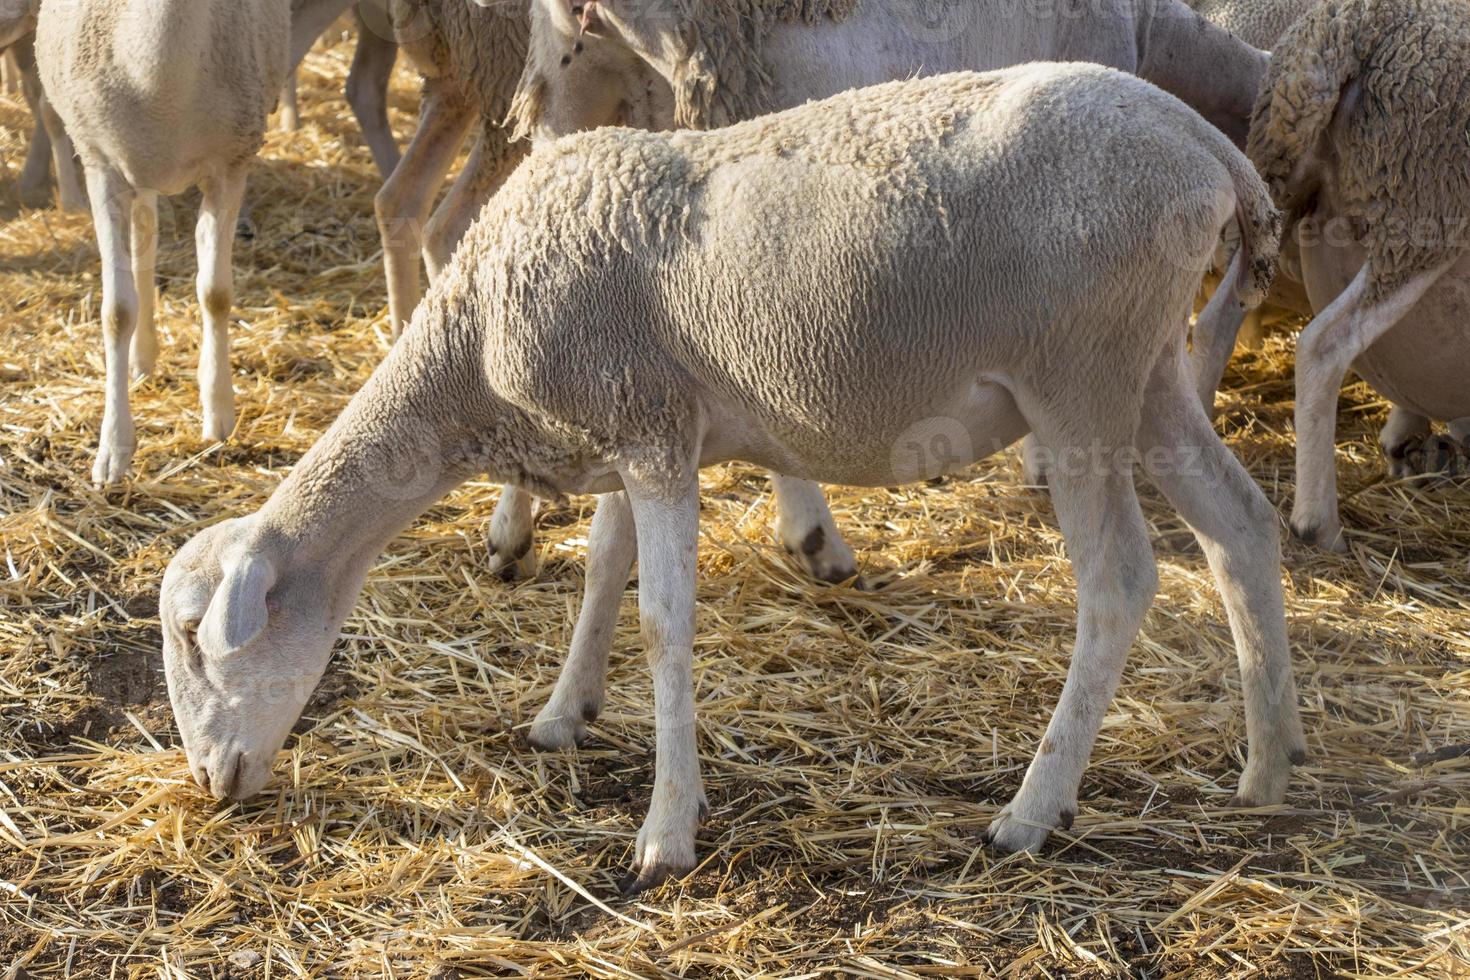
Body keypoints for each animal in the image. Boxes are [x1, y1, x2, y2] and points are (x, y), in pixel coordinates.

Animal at [36, 0, 289, 487]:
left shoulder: (232, 163)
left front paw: (219, 413)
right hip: (134, 166)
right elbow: (117, 311)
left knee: (151, 241)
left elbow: (216, 294)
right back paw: (141, 357)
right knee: (144, 242)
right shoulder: (100, 164)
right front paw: (113, 451)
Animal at [158, 67, 1311, 899]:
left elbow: (664, 618)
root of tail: (1208, 149)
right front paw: (564, 714)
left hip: (1080, 375)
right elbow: (603, 571)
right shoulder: (625, 425)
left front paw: (666, 831)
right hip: (1150, 371)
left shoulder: (655, 432)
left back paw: (1034, 808)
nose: (210, 785)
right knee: (1239, 526)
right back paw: (1268, 767)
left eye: (195, 636)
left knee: (1119, 579)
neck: (469, 353)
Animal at [1193, 0, 1470, 552]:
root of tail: (1344, 31)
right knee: (1324, 346)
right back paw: (1318, 523)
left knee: (1213, 327)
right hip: (1422, 209)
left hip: (1274, 194)